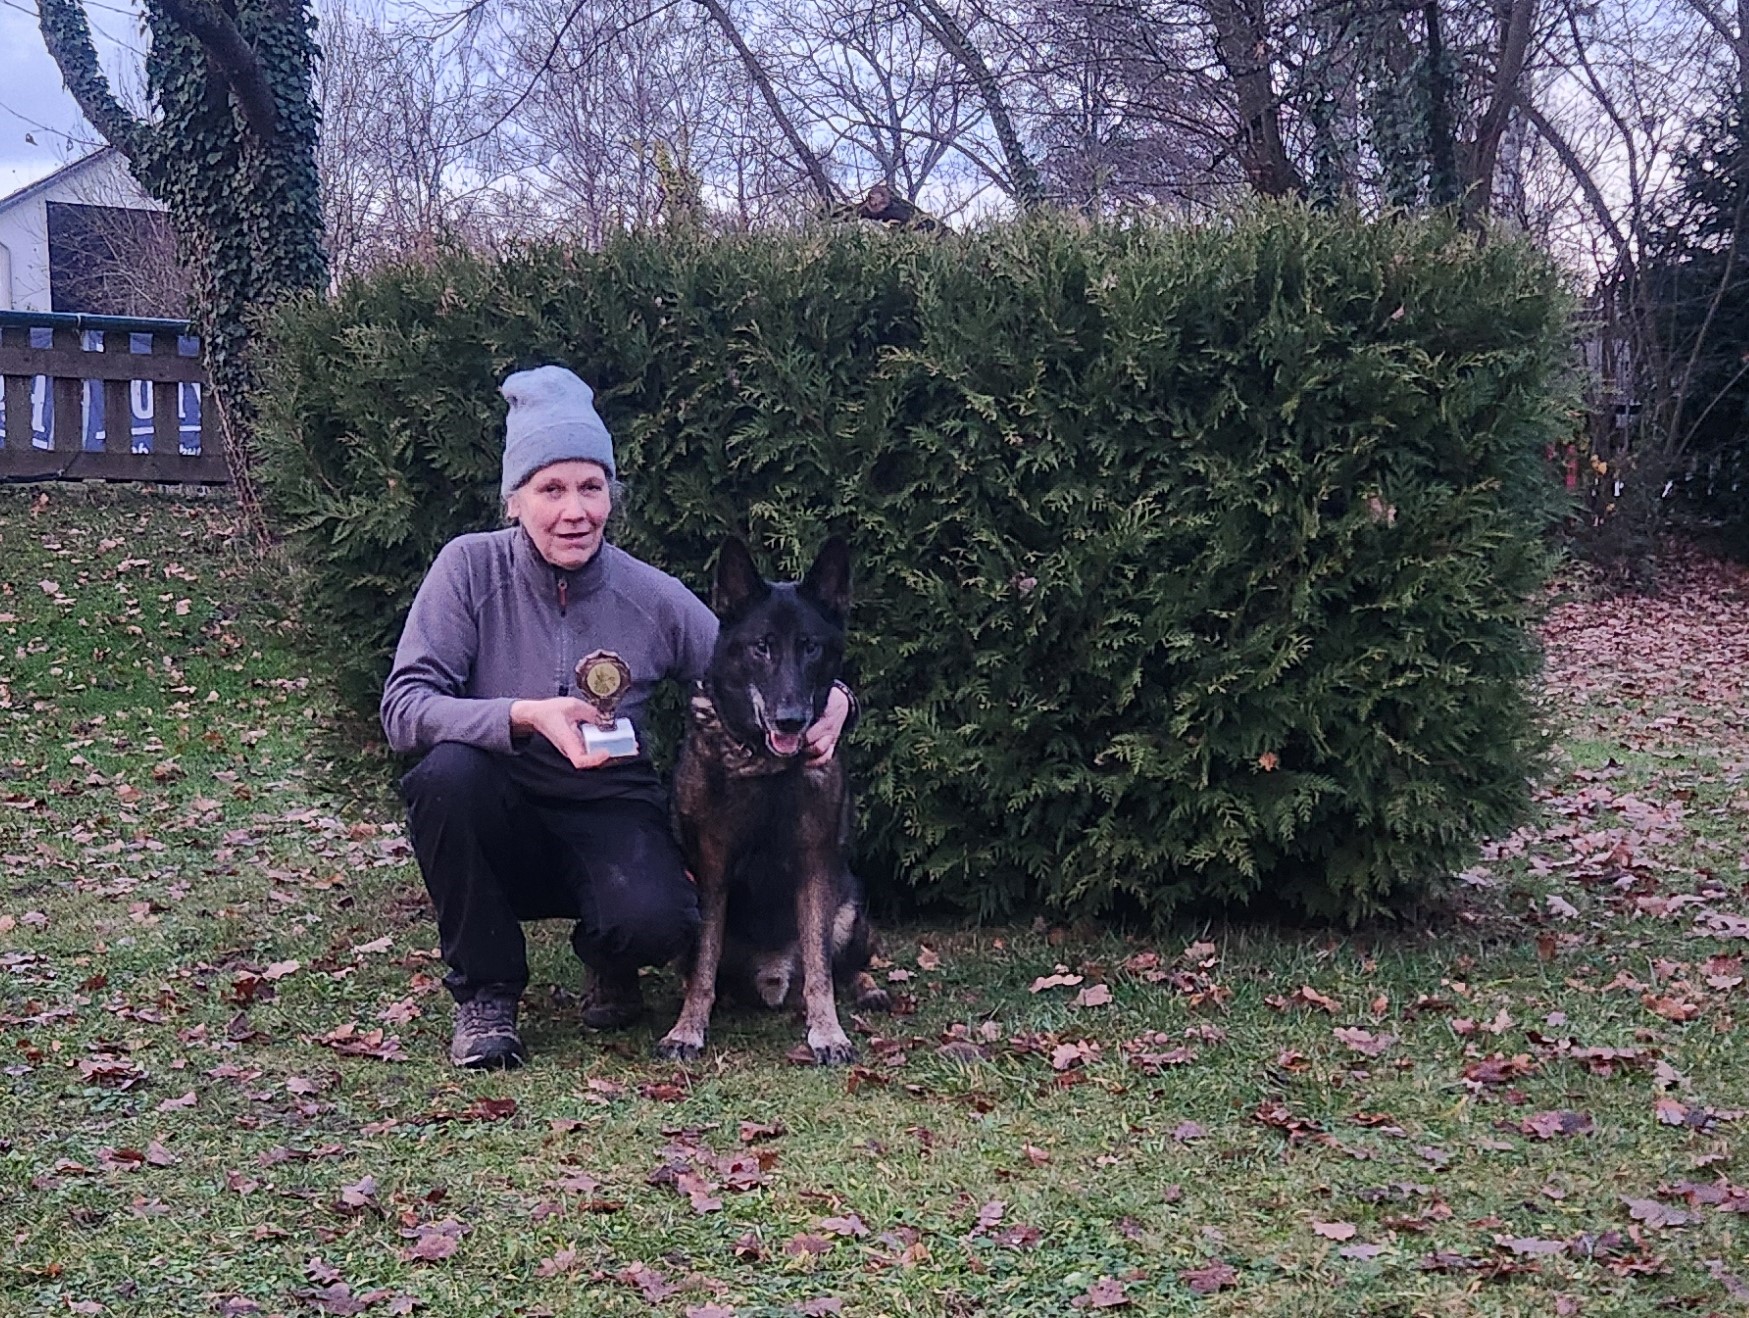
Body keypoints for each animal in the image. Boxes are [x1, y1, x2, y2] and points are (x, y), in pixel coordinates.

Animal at [655, 535, 887, 1065]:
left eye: (810, 647)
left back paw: (868, 988)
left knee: (844, 965)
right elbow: (703, 967)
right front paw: (687, 1028)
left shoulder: (814, 865)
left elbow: (821, 971)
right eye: (762, 647)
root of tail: (774, 975)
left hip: (851, 906)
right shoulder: (711, 871)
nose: (791, 719)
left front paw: (828, 1033)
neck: (765, 766)